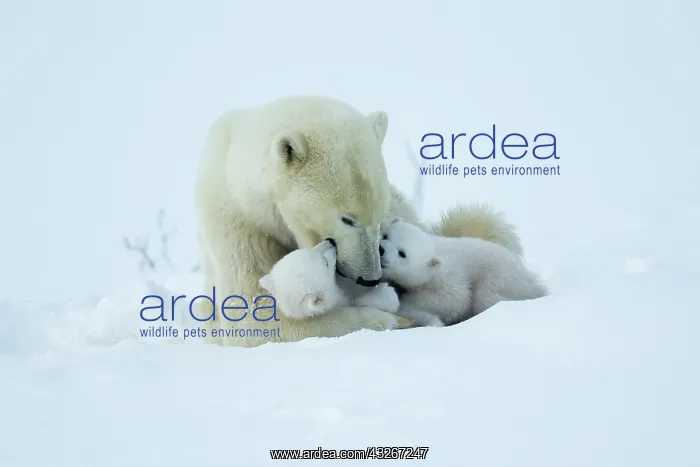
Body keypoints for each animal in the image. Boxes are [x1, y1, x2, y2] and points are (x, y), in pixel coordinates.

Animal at [379, 218, 548, 327]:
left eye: (402, 253)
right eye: (386, 235)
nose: (381, 249)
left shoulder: (449, 278)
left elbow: (455, 298)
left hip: (501, 279)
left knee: (486, 296)